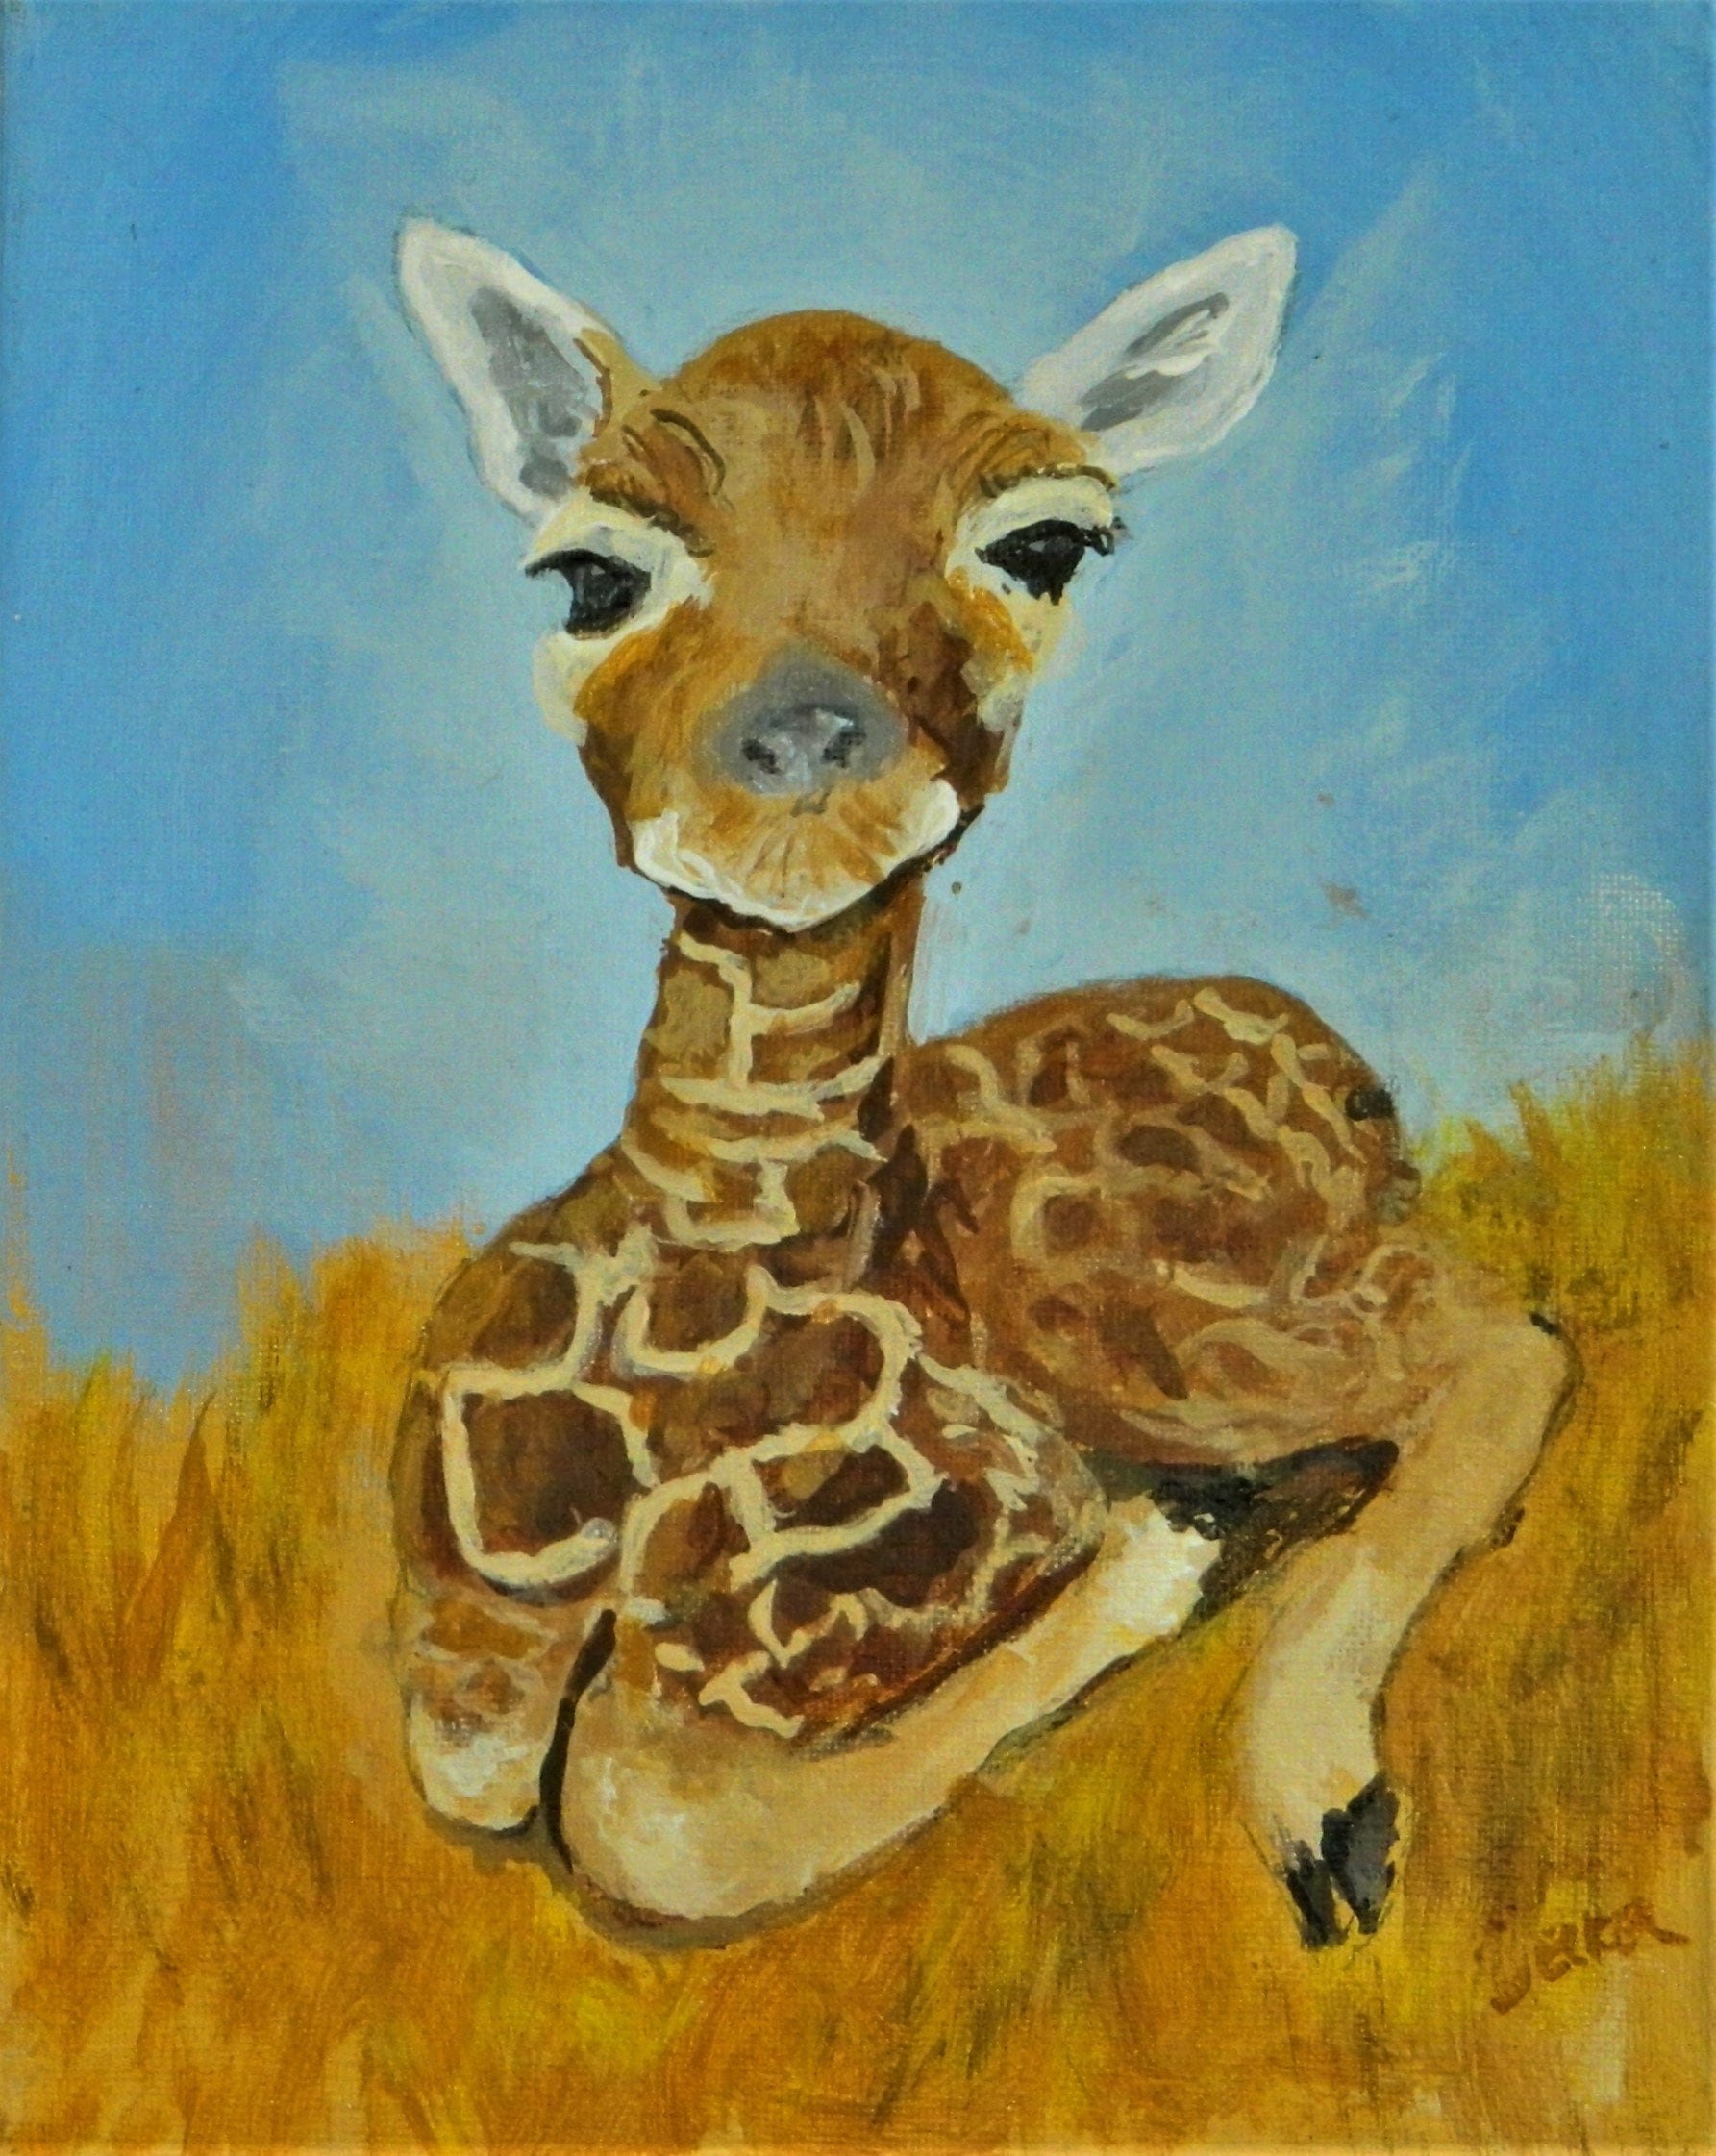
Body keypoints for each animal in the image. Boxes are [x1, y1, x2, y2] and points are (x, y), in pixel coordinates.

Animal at [390, 221, 1573, 1945]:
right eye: (591, 570)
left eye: (1048, 546)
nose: (802, 751)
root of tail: (1347, 1079)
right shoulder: (452, 1649)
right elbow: (505, 1772)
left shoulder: (815, 1626)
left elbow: (640, 1815)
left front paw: (1157, 1556)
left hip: (1153, 1309)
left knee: (1501, 1340)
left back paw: (1318, 1789)